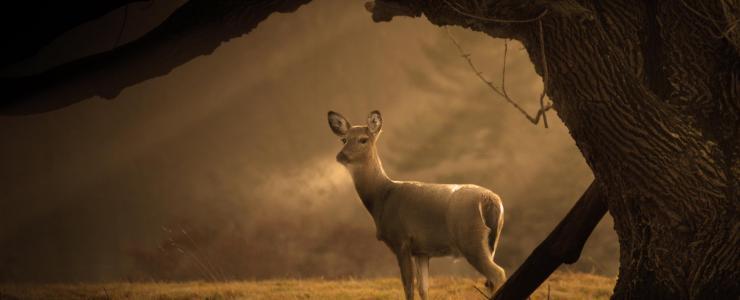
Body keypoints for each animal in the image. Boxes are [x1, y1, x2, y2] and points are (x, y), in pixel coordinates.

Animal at [326, 110, 506, 300]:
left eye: (363, 139)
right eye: (344, 139)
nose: (341, 155)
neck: (382, 196)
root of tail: (490, 200)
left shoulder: (401, 240)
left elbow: (408, 287)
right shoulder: (422, 250)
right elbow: (423, 288)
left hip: (470, 238)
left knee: (498, 273)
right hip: (491, 241)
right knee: (490, 280)